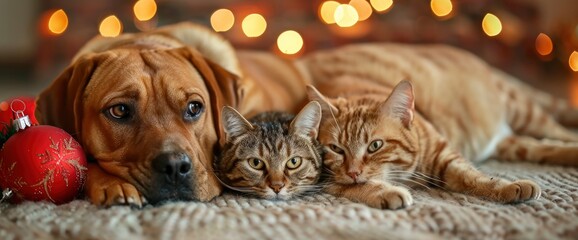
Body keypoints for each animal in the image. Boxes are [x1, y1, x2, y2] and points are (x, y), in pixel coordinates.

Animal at [300, 44, 576, 209]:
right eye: (336, 149)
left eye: (375, 146)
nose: (354, 172)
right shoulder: (325, 178)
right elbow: (360, 187)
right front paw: (386, 192)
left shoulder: (445, 154)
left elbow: (473, 177)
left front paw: (506, 186)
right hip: (512, 142)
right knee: (541, 147)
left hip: (523, 112)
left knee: (556, 133)